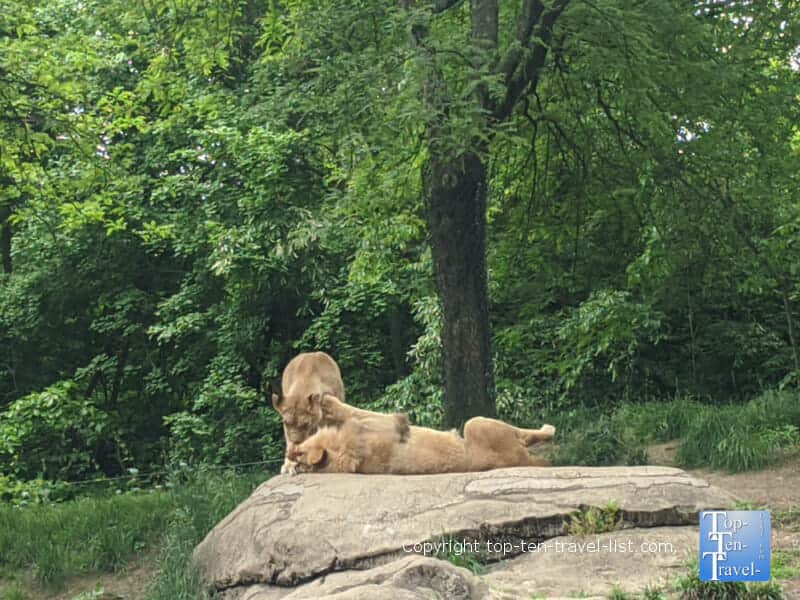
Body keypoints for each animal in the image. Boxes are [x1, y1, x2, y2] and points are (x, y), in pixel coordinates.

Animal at [286, 401, 555, 475]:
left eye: (298, 457)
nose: (289, 453)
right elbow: (352, 409)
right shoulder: (384, 423)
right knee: (528, 437)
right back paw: (549, 429)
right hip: (476, 425)